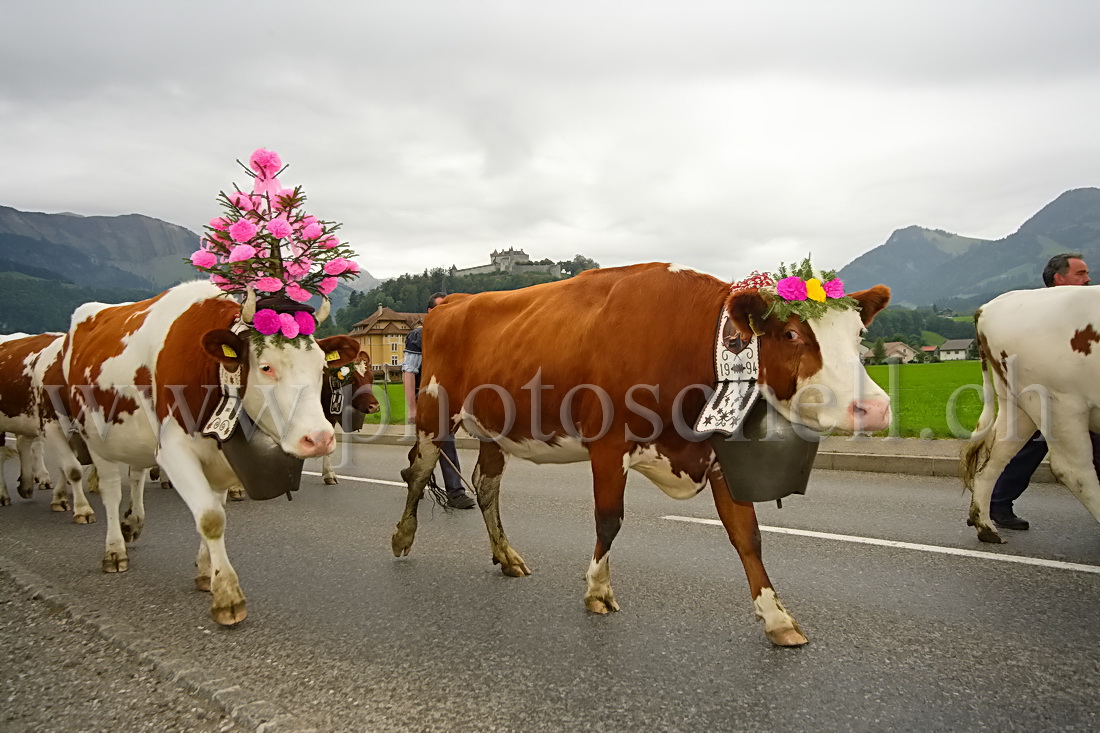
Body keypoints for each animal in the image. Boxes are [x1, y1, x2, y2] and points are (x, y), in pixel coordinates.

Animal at [60, 279, 358, 620]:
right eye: (266, 367)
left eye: (322, 368)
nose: (319, 438)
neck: (211, 373)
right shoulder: (173, 451)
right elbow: (211, 518)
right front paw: (228, 594)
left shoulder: (220, 458)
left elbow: (216, 509)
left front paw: (207, 573)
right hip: (95, 438)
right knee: (110, 491)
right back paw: (114, 550)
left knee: (135, 476)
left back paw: (132, 523)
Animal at [391, 259, 888, 642]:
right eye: (790, 334)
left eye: (860, 335)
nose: (877, 408)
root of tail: (452, 301)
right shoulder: (608, 445)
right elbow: (609, 518)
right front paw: (597, 591)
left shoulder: (718, 452)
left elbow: (747, 536)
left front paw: (777, 618)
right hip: (435, 410)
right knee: (418, 469)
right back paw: (403, 537)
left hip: (494, 428)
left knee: (486, 484)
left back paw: (506, 555)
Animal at [959, 286, 1100, 541]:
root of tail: (988, 307)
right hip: (1059, 403)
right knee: (1074, 470)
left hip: (1019, 407)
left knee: (992, 461)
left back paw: (985, 527)